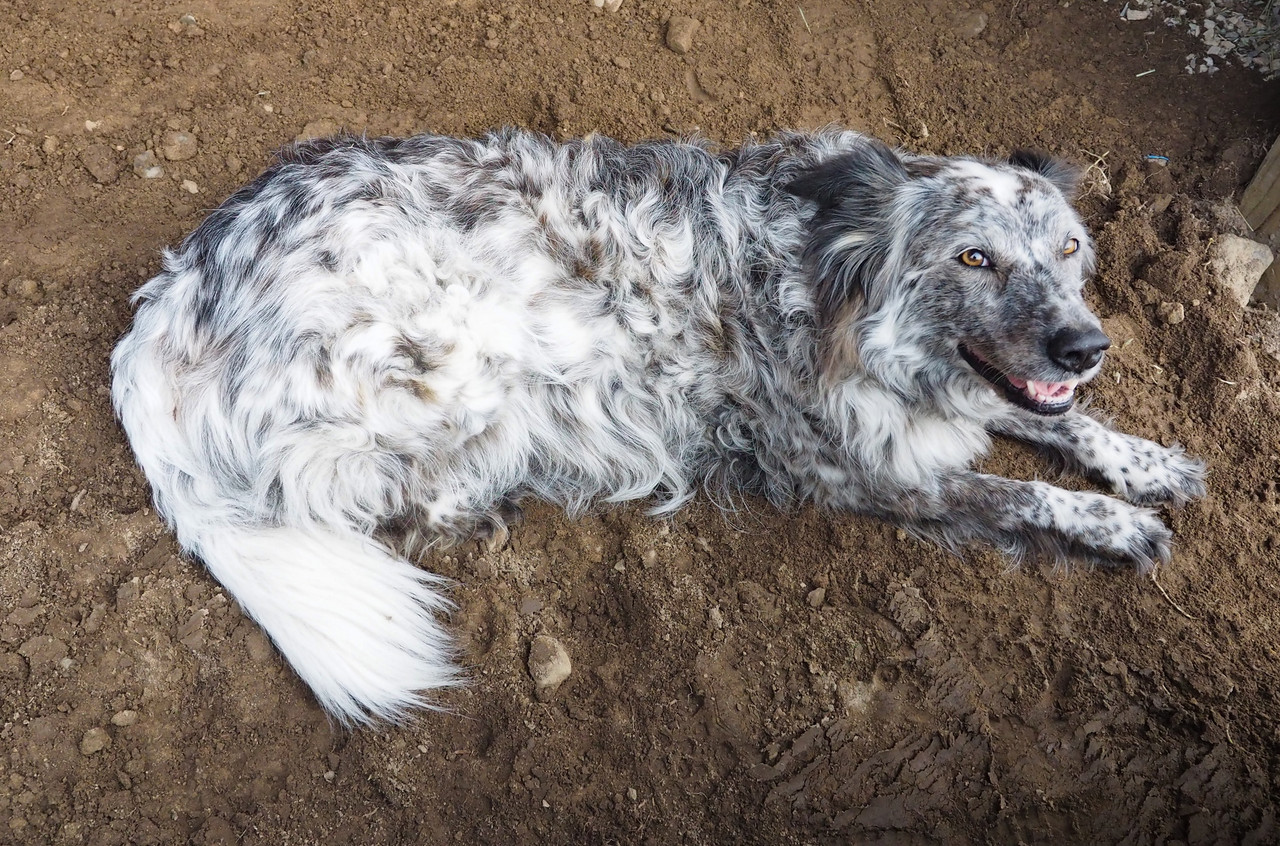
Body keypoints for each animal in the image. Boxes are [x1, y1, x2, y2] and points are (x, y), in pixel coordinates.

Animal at [110, 128, 1206, 725]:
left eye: (1069, 249)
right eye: (973, 258)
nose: (1085, 346)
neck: (825, 276)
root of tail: (174, 298)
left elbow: (1062, 426)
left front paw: (1145, 461)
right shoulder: (864, 472)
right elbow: (1021, 489)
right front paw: (1118, 524)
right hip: (461, 378)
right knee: (369, 495)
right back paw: (489, 503)